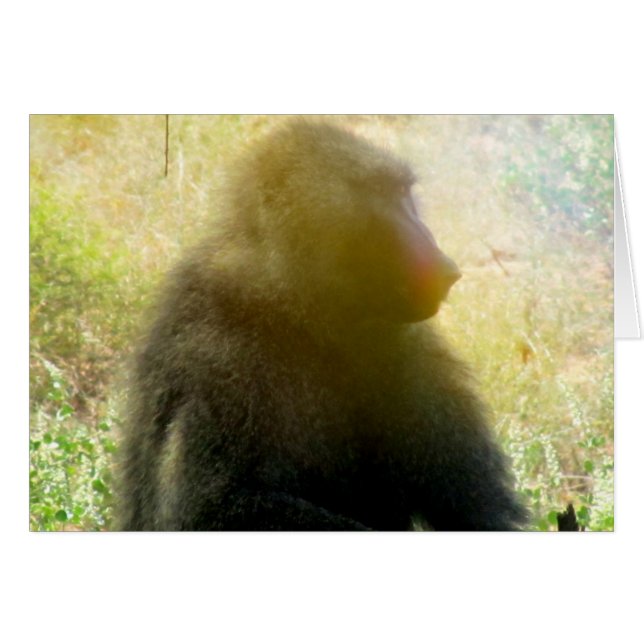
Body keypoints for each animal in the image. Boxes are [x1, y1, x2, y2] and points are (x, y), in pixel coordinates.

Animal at [115, 119, 529, 531]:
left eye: (403, 193)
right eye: (379, 192)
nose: (444, 265)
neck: (298, 308)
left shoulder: (409, 343)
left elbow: (479, 515)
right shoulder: (213, 351)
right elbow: (210, 507)